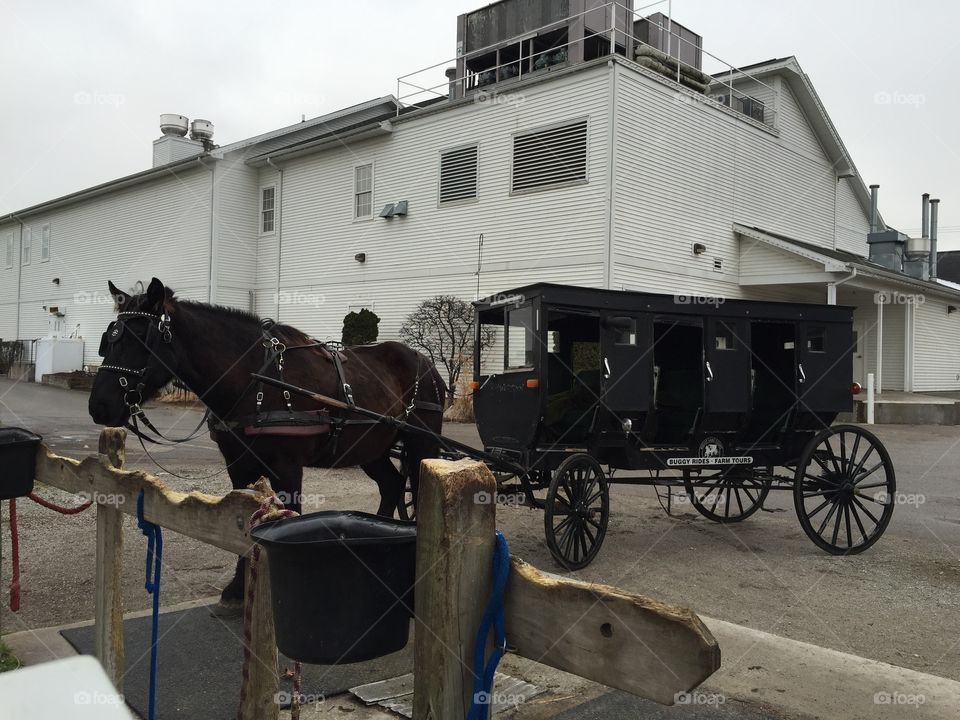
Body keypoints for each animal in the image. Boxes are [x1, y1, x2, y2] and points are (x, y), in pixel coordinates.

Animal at [88, 278, 444, 604]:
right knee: (392, 485)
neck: (256, 382)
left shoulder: (287, 467)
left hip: (422, 444)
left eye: (139, 338)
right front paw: (237, 587)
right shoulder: (238, 464)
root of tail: (425, 360)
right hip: (371, 449)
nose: (98, 406)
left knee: (417, 490)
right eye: (109, 339)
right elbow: (240, 521)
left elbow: (291, 516)